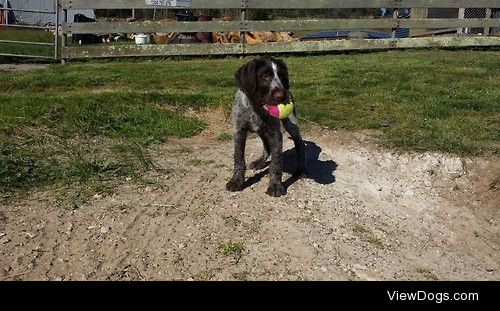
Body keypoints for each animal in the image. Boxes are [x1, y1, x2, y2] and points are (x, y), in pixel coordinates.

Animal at [226, 56, 304, 197]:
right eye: (264, 76)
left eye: (282, 76)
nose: (283, 96)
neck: (257, 108)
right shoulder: (239, 131)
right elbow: (238, 158)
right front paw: (237, 180)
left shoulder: (275, 134)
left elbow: (276, 162)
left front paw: (275, 185)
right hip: (261, 131)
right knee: (267, 146)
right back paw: (260, 162)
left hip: (291, 123)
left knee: (300, 143)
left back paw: (301, 169)